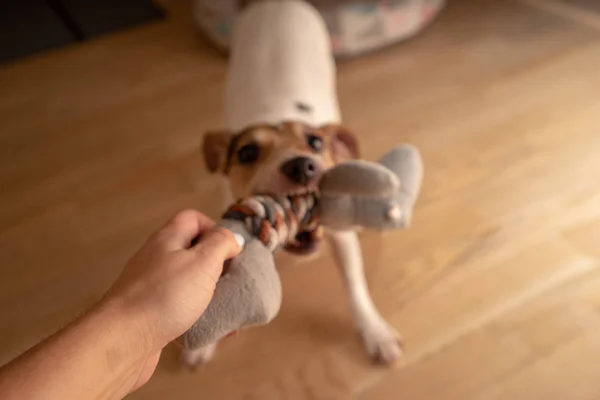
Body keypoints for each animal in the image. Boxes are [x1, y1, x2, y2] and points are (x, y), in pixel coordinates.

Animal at [185, 0, 404, 368]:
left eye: (315, 143)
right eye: (246, 152)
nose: (302, 166)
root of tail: (273, 4)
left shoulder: (339, 234)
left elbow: (355, 285)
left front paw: (375, 332)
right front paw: (203, 343)